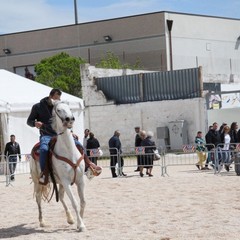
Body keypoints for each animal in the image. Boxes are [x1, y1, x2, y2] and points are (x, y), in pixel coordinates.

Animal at [29, 100, 86, 232]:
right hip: (37, 182)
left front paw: (78, 222)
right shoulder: (66, 181)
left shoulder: (80, 180)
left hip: (59, 183)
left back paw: (70, 218)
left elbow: (82, 202)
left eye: (70, 108)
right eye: (59, 110)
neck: (69, 152)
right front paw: (81, 225)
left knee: (61, 197)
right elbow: (75, 202)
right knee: (38, 198)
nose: (70, 119)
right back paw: (42, 221)